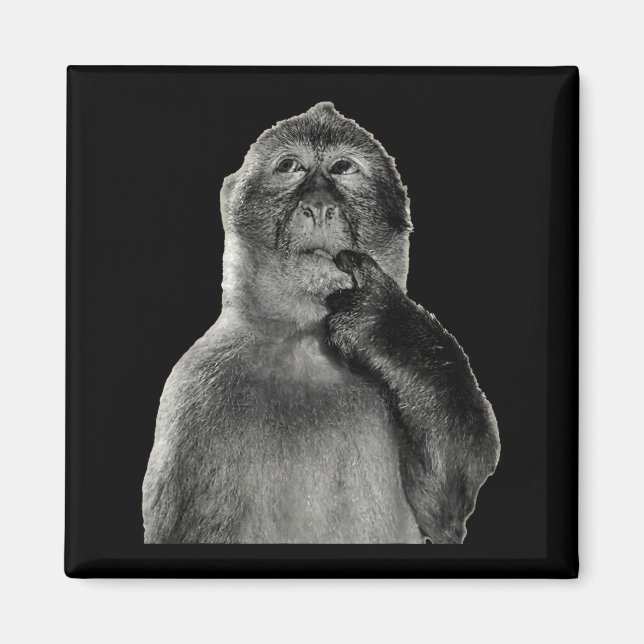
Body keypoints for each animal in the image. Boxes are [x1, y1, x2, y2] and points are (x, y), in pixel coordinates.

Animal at [142, 102, 500, 544]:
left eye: (343, 167)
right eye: (290, 166)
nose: (318, 206)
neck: (305, 342)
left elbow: (446, 507)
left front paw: (386, 324)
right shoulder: (195, 392)